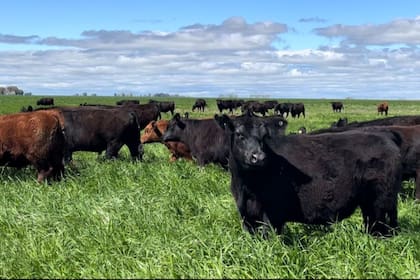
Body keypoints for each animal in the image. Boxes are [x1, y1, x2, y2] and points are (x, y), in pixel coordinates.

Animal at [217, 113, 404, 236]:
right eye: (239, 134)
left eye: (265, 136)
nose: (259, 157)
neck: (245, 185)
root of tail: (385, 134)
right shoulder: (246, 215)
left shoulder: (271, 214)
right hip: (370, 202)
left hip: (381, 201)